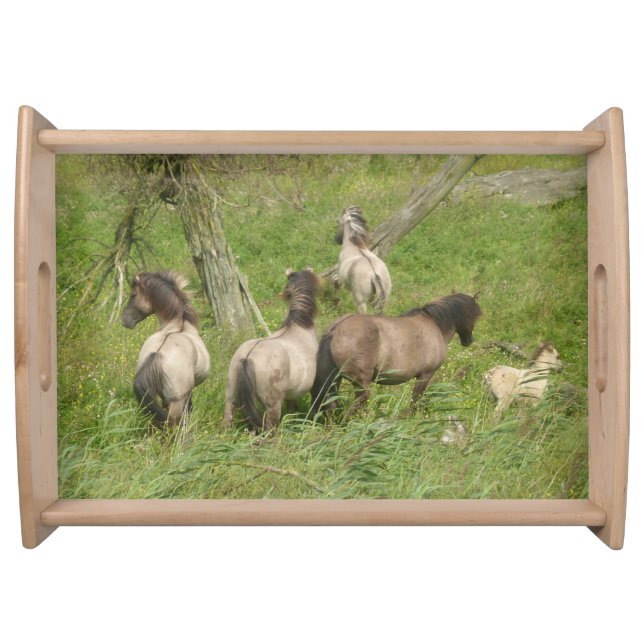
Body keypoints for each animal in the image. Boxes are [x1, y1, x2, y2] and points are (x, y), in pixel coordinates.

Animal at [121, 271, 211, 427]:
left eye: (133, 295)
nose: (124, 320)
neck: (179, 325)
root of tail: (157, 355)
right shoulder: (187, 393)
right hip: (176, 402)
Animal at [311, 293, 482, 415]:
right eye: (474, 316)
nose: (468, 340)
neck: (435, 325)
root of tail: (334, 330)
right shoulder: (426, 374)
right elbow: (416, 398)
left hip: (334, 378)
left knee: (330, 402)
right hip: (360, 381)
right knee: (360, 401)